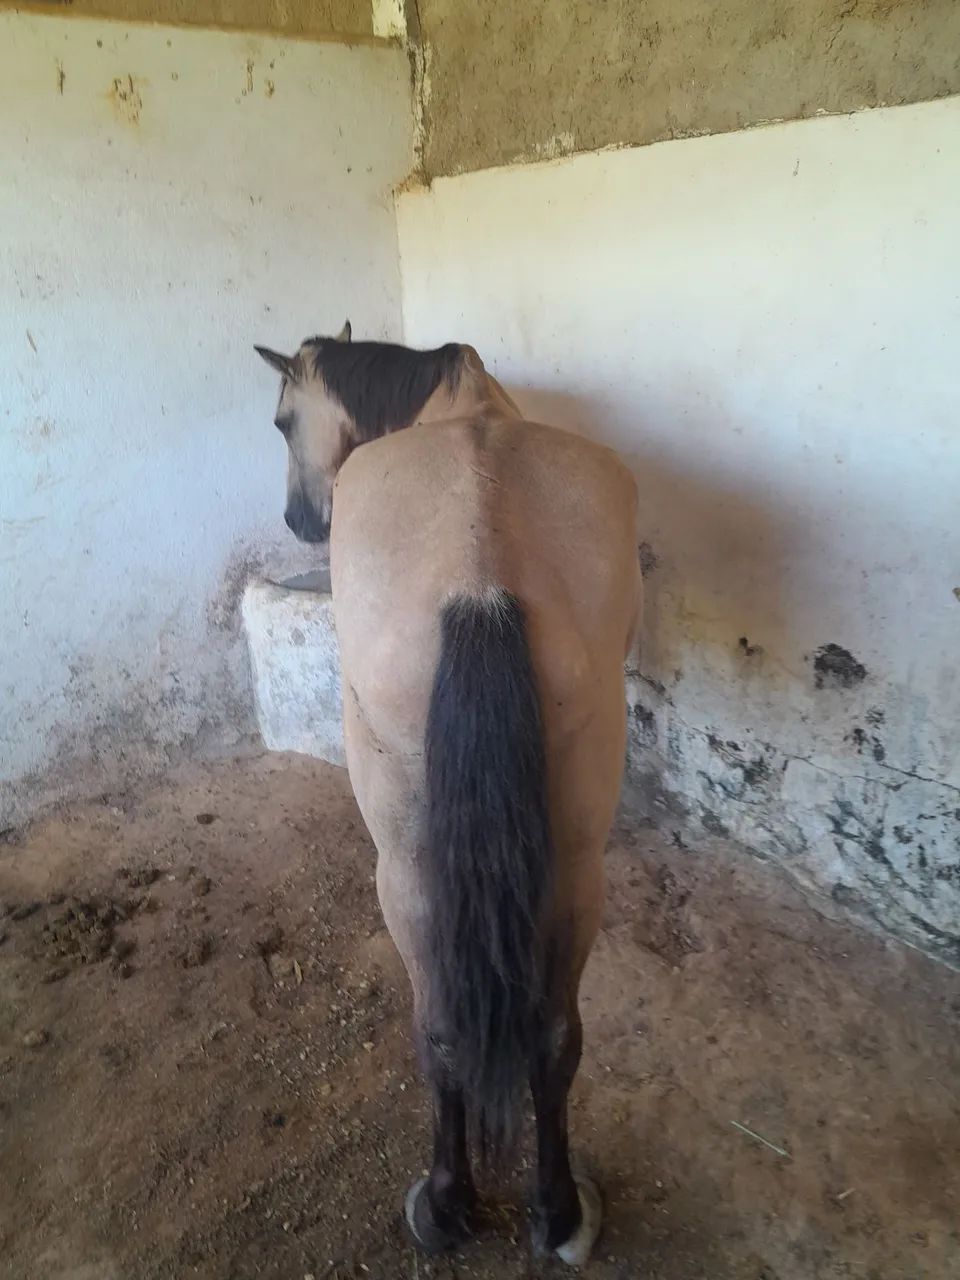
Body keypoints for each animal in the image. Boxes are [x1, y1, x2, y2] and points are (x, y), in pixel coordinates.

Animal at [255, 324, 641, 1265]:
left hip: (404, 869)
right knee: (554, 1036)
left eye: (283, 420)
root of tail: (479, 574)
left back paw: (445, 1202)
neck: (455, 402)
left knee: (438, 1031)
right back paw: (558, 1213)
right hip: (576, 866)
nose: (300, 522)